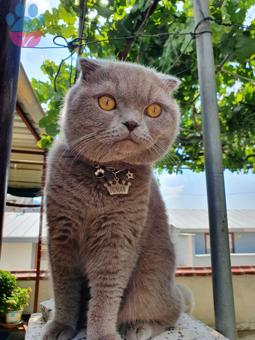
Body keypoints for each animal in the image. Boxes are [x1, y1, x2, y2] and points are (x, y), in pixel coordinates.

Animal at [42, 59, 192, 340]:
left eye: (153, 109)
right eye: (107, 102)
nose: (131, 123)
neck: (107, 173)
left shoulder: (118, 237)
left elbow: (106, 293)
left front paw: (101, 333)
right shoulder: (60, 234)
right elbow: (64, 290)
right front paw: (61, 326)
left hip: (150, 283)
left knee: (171, 312)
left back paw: (137, 327)